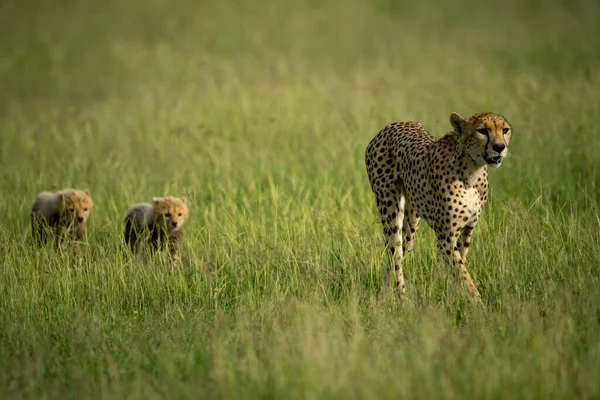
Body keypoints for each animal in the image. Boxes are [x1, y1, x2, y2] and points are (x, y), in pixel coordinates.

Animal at [366, 111, 510, 304]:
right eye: (482, 130)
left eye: (505, 130)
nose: (500, 147)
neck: (472, 172)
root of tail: (391, 125)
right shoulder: (445, 238)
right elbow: (464, 275)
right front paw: (479, 306)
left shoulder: (467, 231)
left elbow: (460, 269)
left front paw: (456, 299)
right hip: (390, 211)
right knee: (395, 252)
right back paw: (401, 298)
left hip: (411, 222)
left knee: (397, 253)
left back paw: (386, 294)